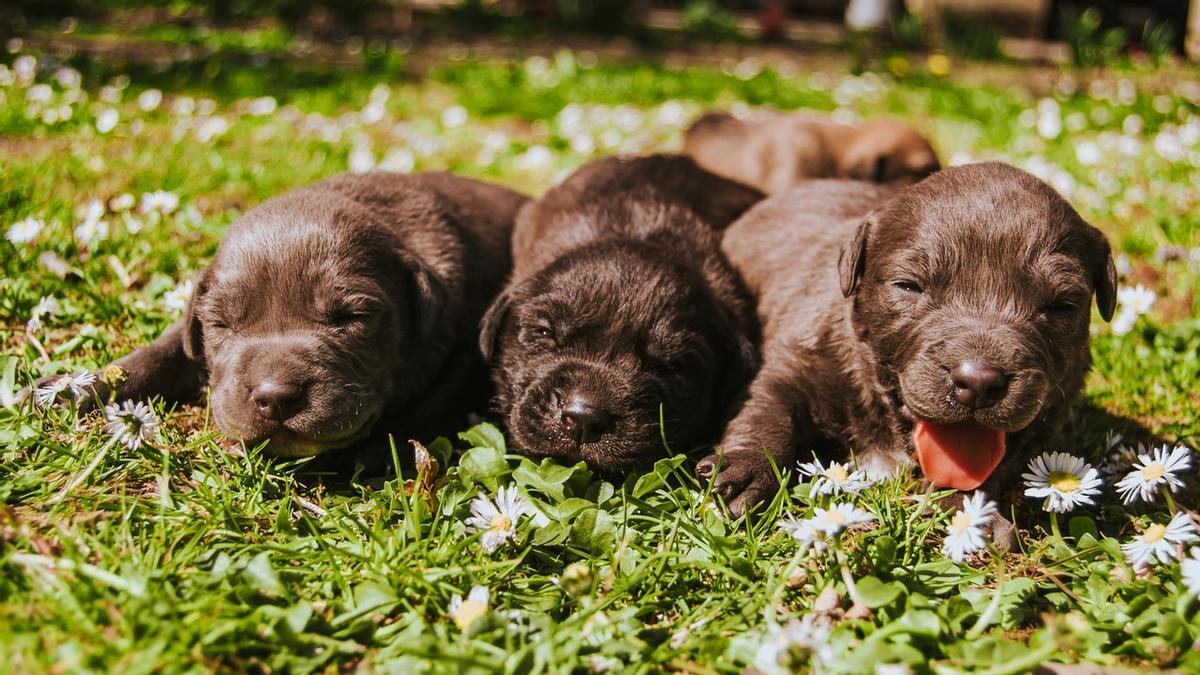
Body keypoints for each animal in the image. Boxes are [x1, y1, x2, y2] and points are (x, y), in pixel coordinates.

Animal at [34, 170, 525, 458]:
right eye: (222, 324)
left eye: (352, 318)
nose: (275, 397)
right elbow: (161, 351)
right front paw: (67, 389)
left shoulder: (461, 353)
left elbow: (417, 416)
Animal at [700, 164, 1118, 514]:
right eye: (909, 286)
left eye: (1061, 305)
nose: (978, 383)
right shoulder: (797, 357)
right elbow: (769, 407)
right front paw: (746, 471)